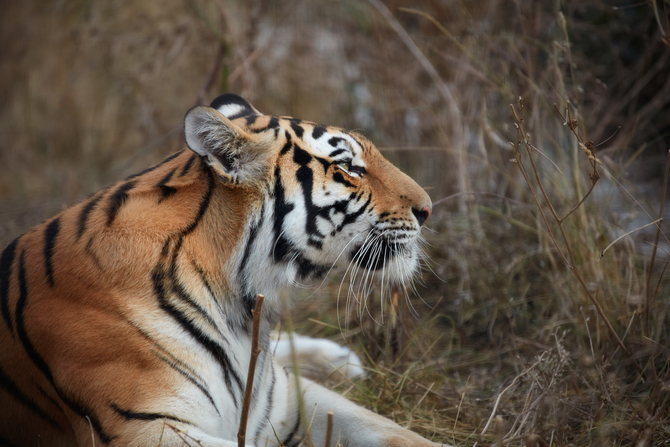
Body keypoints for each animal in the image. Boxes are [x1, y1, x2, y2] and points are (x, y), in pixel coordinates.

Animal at [0, 93, 446, 446]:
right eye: (349, 168)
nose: (428, 209)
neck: (241, 305)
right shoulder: (145, 426)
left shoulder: (286, 396)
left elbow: (395, 432)